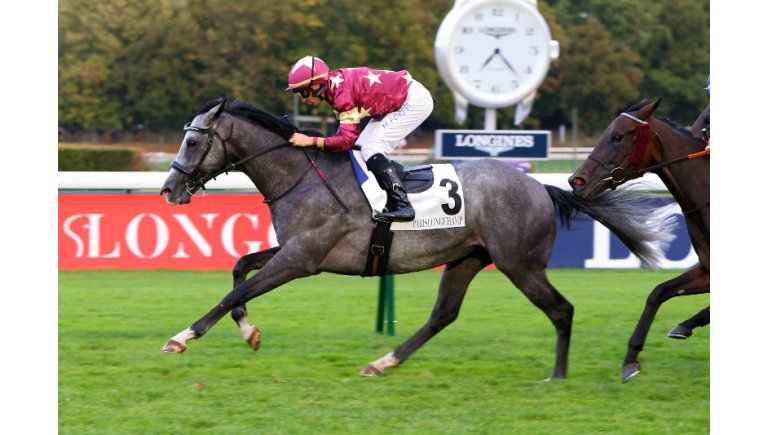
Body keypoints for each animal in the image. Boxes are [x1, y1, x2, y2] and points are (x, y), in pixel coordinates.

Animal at [159, 98, 675, 380]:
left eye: (192, 141)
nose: (168, 189)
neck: (301, 176)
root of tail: (541, 187)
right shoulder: (296, 251)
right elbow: (239, 269)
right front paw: (250, 333)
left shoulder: (302, 259)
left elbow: (238, 289)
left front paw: (182, 337)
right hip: (468, 258)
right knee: (443, 315)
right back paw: (383, 363)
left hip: (519, 263)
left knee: (561, 310)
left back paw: (558, 375)